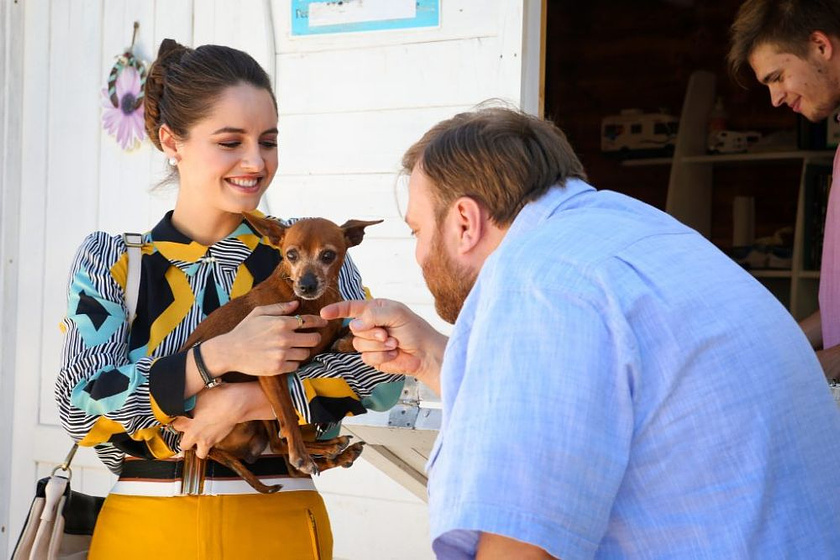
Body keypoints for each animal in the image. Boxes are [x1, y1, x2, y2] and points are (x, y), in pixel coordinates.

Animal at [184, 214, 384, 494]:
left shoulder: (321, 341)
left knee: (284, 451)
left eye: (328, 255)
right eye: (291, 255)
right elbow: (289, 413)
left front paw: (354, 340)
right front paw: (301, 456)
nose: (306, 285)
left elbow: (350, 332)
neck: (312, 303)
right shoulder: (269, 371)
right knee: (282, 444)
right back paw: (321, 452)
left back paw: (335, 449)